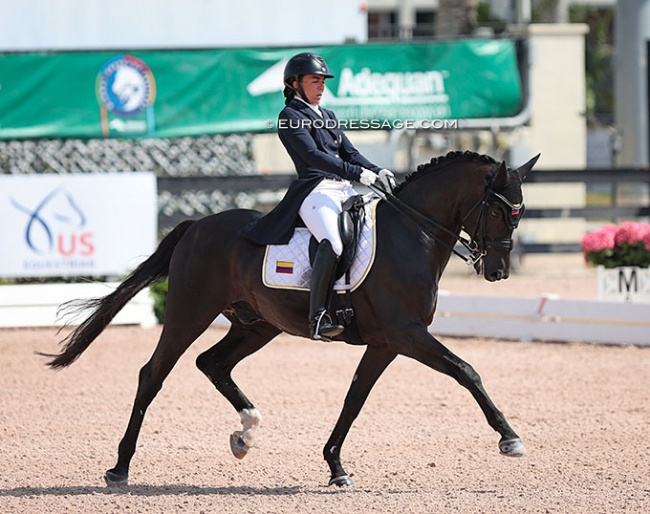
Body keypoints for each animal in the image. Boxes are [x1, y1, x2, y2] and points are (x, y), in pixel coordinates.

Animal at [45, 150, 540, 486]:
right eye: (500, 210)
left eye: (521, 212)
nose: (498, 272)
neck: (411, 234)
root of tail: (197, 225)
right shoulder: (407, 334)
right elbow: (467, 370)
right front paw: (510, 438)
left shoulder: (386, 343)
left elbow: (354, 399)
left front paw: (336, 465)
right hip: (190, 311)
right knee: (154, 374)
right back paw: (119, 467)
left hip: (257, 324)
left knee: (213, 363)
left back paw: (245, 434)